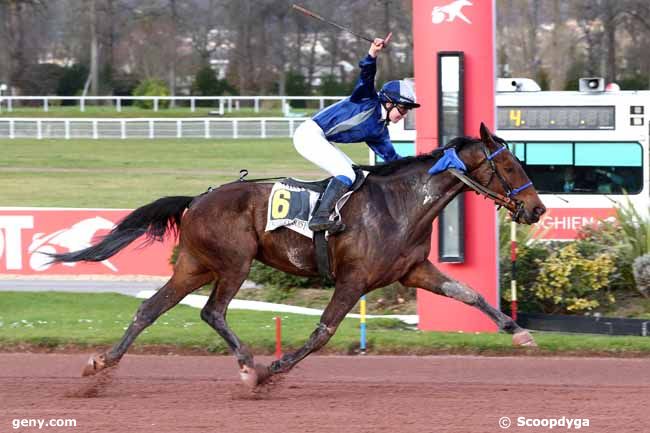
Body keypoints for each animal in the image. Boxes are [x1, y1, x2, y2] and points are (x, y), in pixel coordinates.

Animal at [53, 121, 544, 384]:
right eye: (509, 164)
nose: (537, 208)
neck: (401, 204)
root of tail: (197, 199)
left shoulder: (415, 270)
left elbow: (470, 294)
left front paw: (518, 332)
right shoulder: (353, 280)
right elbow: (323, 331)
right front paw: (274, 369)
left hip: (194, 266)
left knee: (150, 309)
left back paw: (102, 362)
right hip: (234, 262)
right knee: (212, 311)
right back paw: (248, 364)